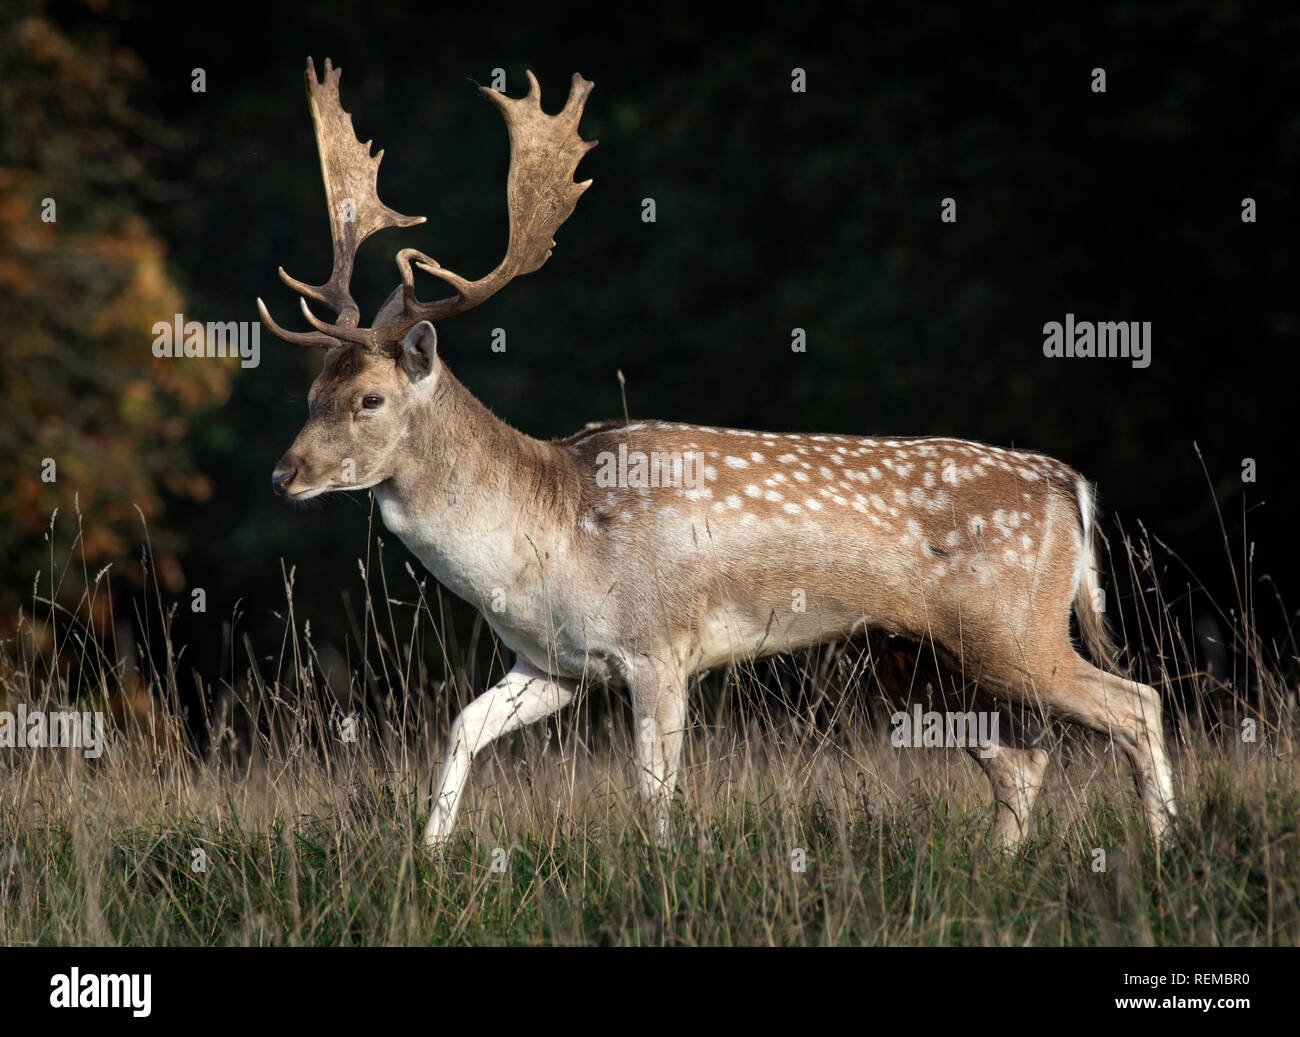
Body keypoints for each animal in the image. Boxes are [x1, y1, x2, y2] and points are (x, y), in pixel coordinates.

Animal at [260, 58, 1177, 852]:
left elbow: (652, 789)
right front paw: (429, 855)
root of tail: (1070, 484)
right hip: (915, 654)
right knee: (1025, 759)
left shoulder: (659, 643)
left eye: (369, 399)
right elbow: (463, 727)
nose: (284, 473)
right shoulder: (552, 662)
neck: (547, 533)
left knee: (1136, 702)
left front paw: (663, 871)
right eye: (310, 395)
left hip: (1012, 625)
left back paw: (1167, 851)